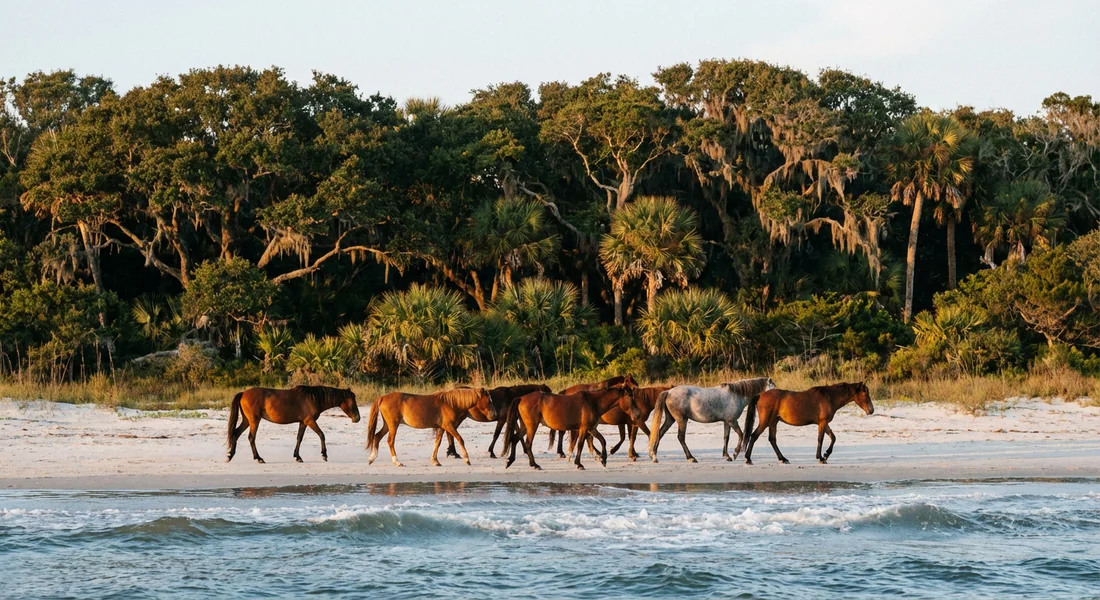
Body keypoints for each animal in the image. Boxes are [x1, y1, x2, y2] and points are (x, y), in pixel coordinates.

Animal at [226, 385, 360, 464]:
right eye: (352, 401)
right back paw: (258, 458)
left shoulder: (303, 422)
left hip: (247, 420)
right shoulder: (310, 421)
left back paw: (230, 455)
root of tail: (243, 393)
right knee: (251, 438)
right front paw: (324, 455)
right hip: (254, 420)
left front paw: (297, 456)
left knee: (236, 434)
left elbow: (299, 438)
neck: (314, 398)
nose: (357, 418)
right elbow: (321, 434)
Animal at [503, 386, 642, 471]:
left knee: (515, 439)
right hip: (532, 426)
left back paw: (510, 461)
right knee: (527, 443)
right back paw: (534, 464)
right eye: (630, 397)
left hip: (525, 426)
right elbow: (580, 445)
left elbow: (602, 440)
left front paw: (603, 460)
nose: (637, 414)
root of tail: (521, 398)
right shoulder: (584, 428)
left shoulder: (591, 428)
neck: (593, 402)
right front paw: (579, 464)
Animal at [742, 381, 874, 465]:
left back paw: (783, 459)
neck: (829, 397)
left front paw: (826, 454)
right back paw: (748, 459)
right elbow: (820, 439)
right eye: (865, 394)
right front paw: (821, 457)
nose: (871, 410)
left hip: (773, 422)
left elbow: (833, 437)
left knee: (772, 439)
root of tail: (760, 395)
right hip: (766, 421)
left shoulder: (824, 423)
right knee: (754, 436)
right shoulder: (822, 422)